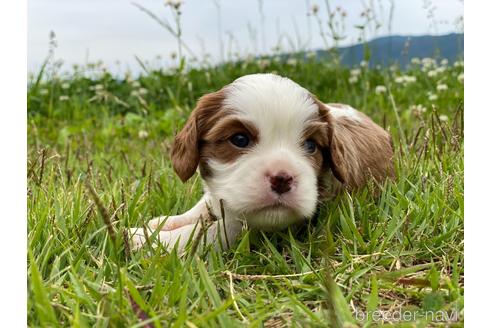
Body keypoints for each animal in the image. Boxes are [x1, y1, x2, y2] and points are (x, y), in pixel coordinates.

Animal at [129, 74, 394, 252]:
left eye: (311, 145)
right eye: (240, 139)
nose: (282, 178)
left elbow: (211, 231)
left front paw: (148, 240)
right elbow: (203, 207)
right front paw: (163, 224)